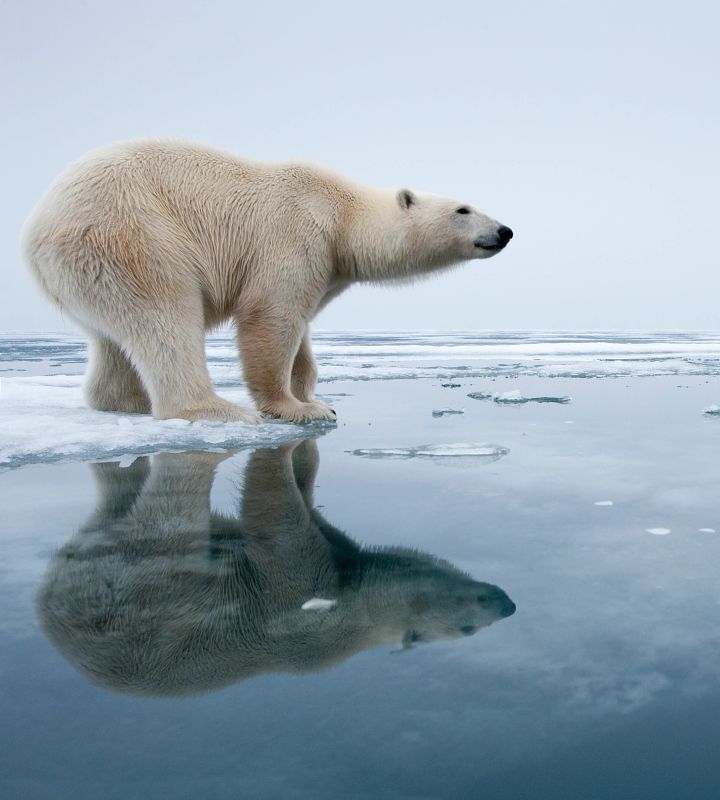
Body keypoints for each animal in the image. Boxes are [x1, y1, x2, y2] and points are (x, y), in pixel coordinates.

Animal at [19, 140, 510, 422]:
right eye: (464, 209)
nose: (504, 231)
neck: (342, 215)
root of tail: (34, 230)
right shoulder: (297, 232)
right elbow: (271, 317)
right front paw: (297, 409)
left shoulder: (326, 266)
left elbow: (303, 331)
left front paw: (317, 396)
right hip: (131, 235)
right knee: (166, 315)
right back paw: (217, 410)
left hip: (90, 268)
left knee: (113, 336)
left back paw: (129, 402)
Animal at [36, 440, 516, 696]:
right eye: (467, 627)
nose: (507, 603)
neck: (351, 614)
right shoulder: (307, 620)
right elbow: (282, 535)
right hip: (123, 589)